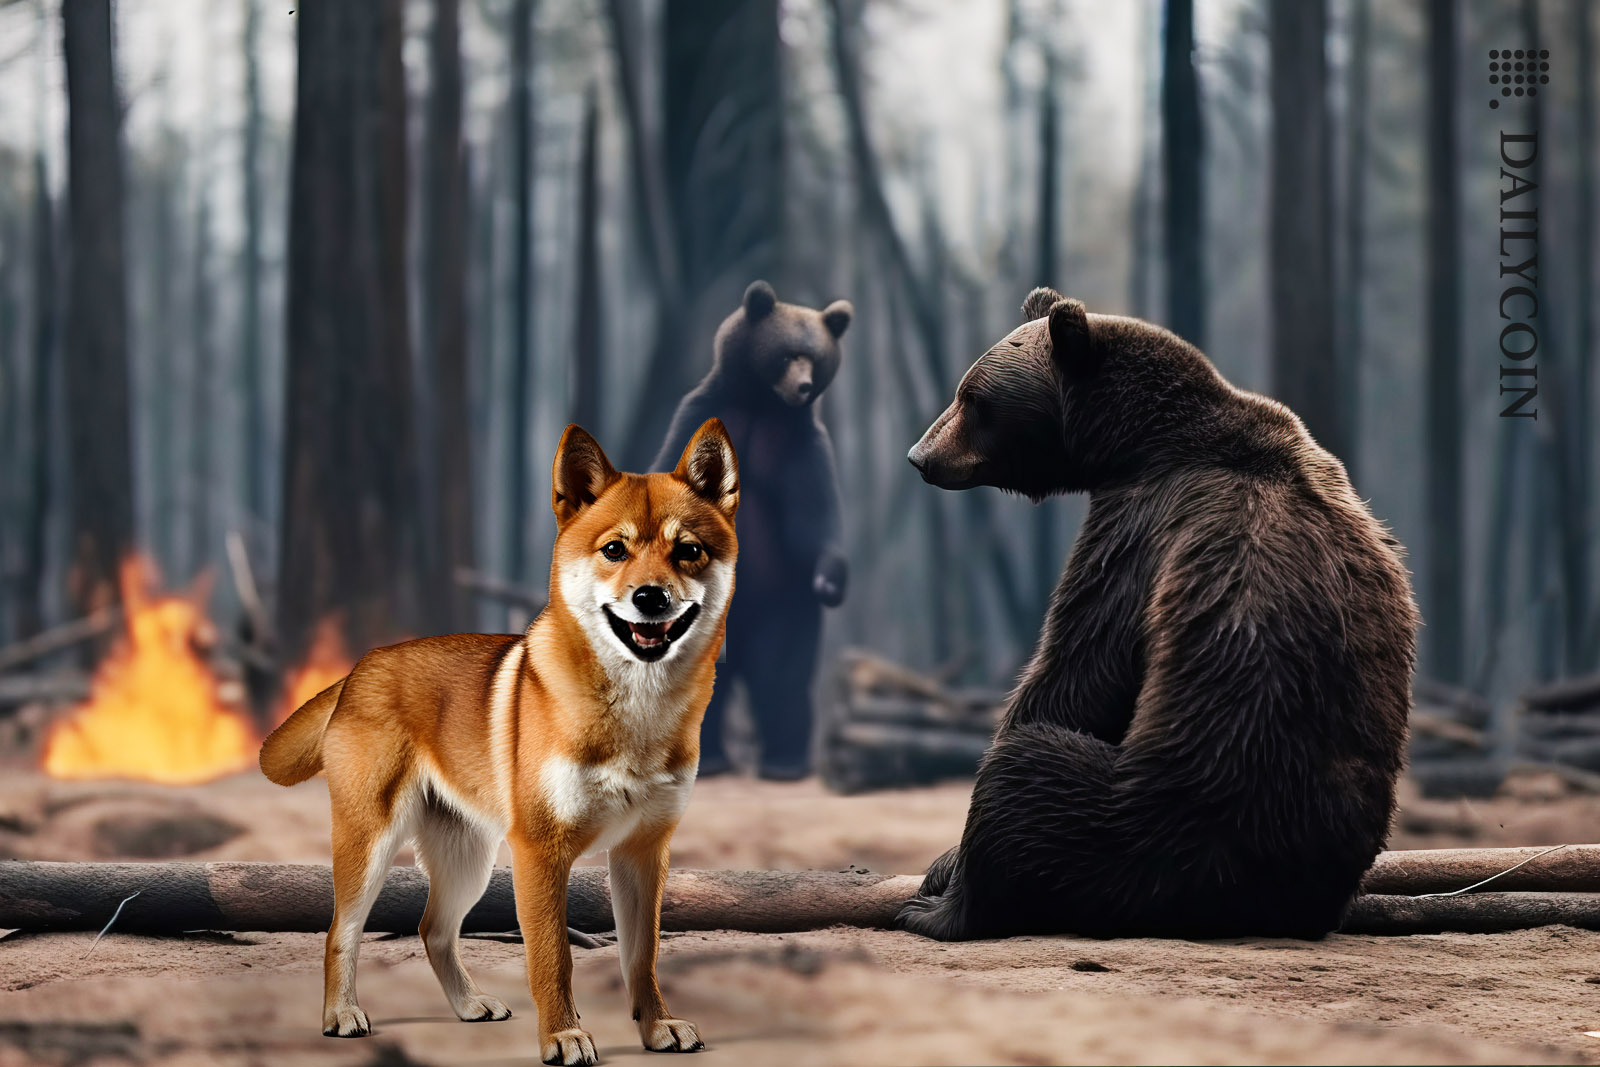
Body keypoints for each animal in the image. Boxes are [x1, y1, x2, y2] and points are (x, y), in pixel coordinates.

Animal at [652, 280, 853, 779]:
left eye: (815, 358)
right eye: (787, 354)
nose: (802, 387)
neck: (762, 406)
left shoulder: (797, 445)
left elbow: (814, 520)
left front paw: (830, 580)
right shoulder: (700, 417)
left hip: (779, 606)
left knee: (781, 673)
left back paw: (785, 760)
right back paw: (712, 759)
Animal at [896, 287, 1418, 941]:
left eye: (972, 397)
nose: (919, 456)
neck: (1138, 442)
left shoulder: (1141, 528)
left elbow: (1073, 672)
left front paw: (942, 865)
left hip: (1167, 824)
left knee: (1026, 781)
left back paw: (942, 909)